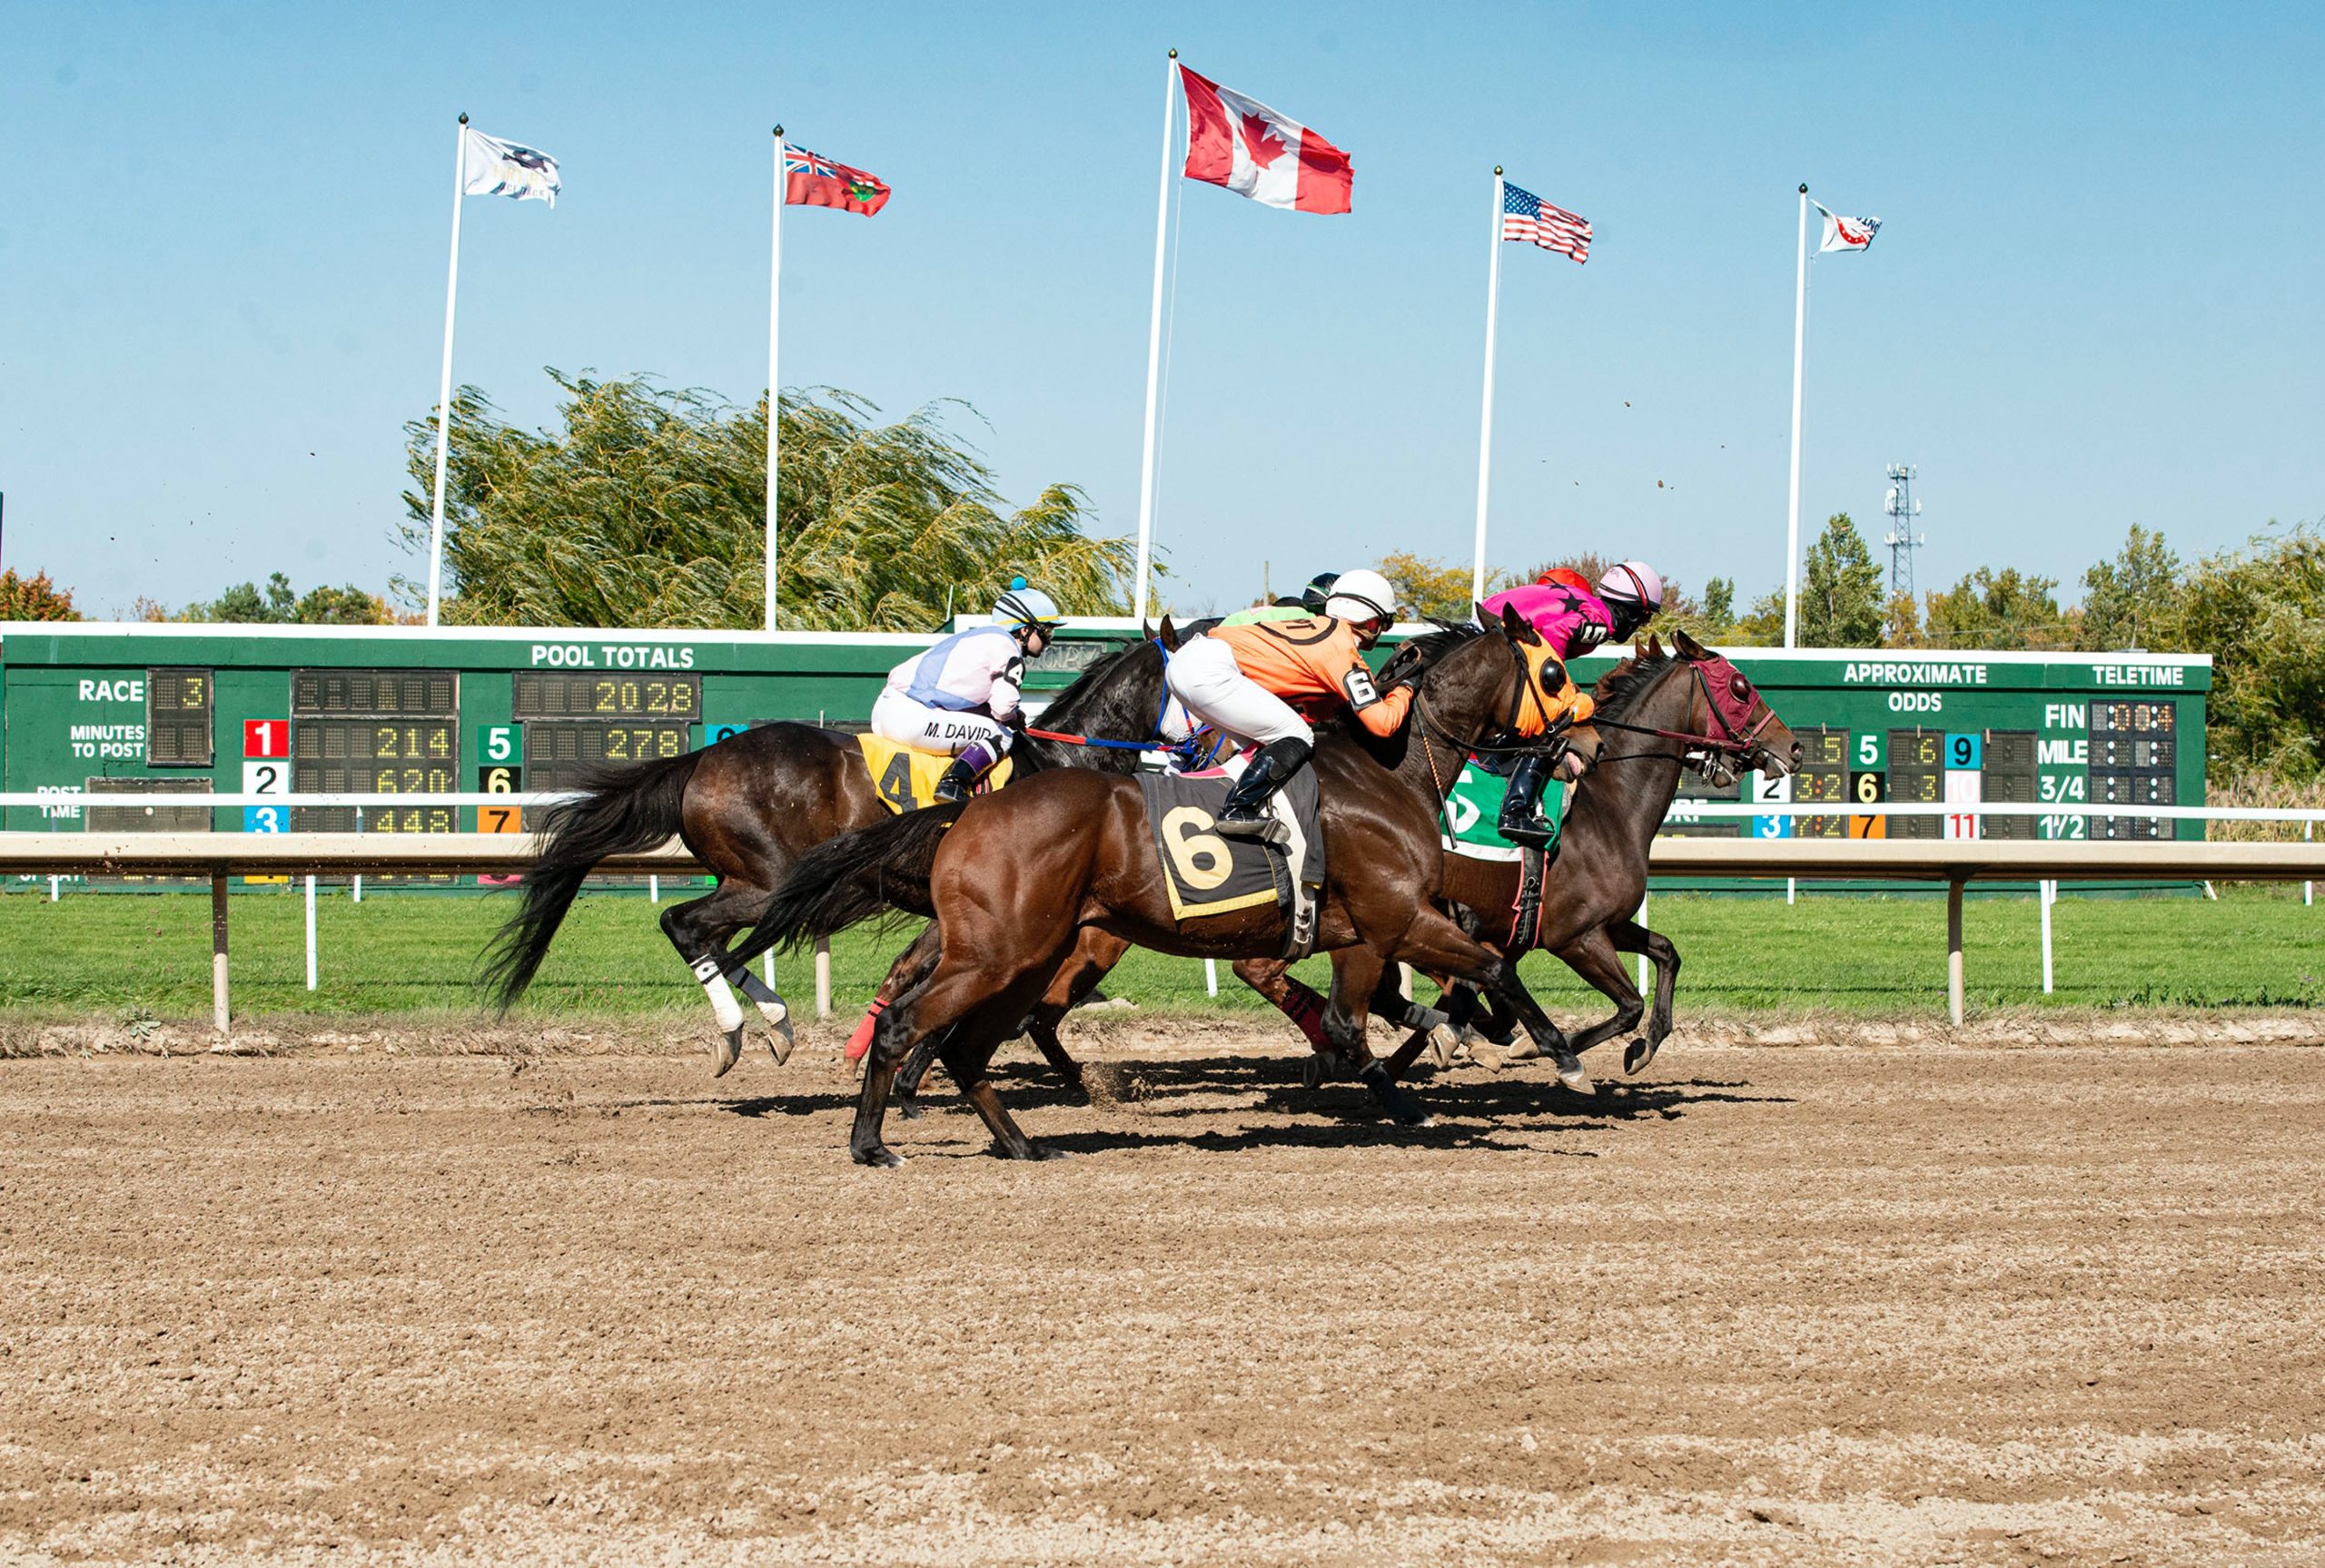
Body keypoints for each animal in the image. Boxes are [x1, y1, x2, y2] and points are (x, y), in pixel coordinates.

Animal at [483, 613, 1190, 1068]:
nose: (1196, 749)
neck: (1064, 764)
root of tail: (701, 759)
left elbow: (911, 971)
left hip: (753, 880)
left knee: (710, 937)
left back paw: (773, 1025)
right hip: (767, 878)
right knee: (685, 924)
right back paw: (741, 1028)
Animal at [757, 613, 1599, 1166]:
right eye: (1555, 672)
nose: (1590, 740)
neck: (1384, 769)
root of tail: (969, 807)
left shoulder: (1365, 934)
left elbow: (1361, 1018)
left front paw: (1422, 1082)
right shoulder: (1398, 916)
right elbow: (1493, 966)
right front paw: (1563, 1058)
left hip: (1027, 955)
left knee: (967, 1045)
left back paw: (1023, 1143)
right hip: (997, 953)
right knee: (909, 1021)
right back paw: (873, 1143)